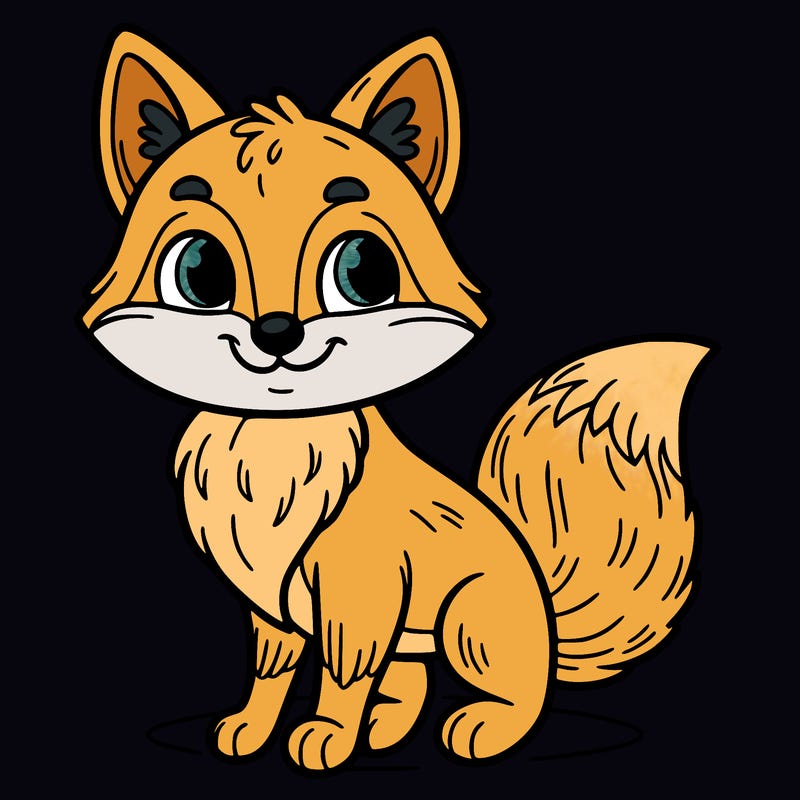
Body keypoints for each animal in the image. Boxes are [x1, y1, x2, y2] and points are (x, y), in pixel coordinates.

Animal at [82, 28, 710, 770]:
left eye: (362, 271)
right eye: (199, 271)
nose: (276, 332)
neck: (274, 445)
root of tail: (549, 616)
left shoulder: (359, 595)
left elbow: (342, 675)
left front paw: (325, 735)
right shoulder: (273, 608)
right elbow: (272, 674)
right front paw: (252, 729)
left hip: (467, 623)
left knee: (521, 693)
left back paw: (477, 728)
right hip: (422, 632)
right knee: (412, 675)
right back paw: (386, 729)